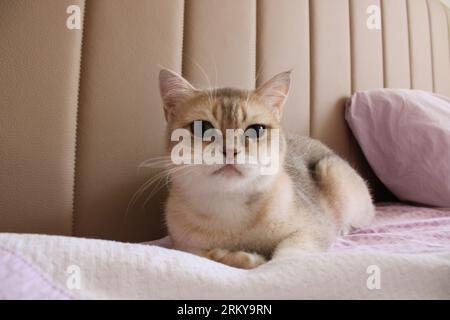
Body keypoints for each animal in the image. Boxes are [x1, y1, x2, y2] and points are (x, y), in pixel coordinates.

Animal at [156, 69, 374, 268]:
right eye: (202, 128)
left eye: (256, 130)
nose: (230, 150)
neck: (229, 207)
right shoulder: (182, 245)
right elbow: (204, 254)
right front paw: (243, 257)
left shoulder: (315, 227)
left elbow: (287, 256)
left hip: (331, 169)